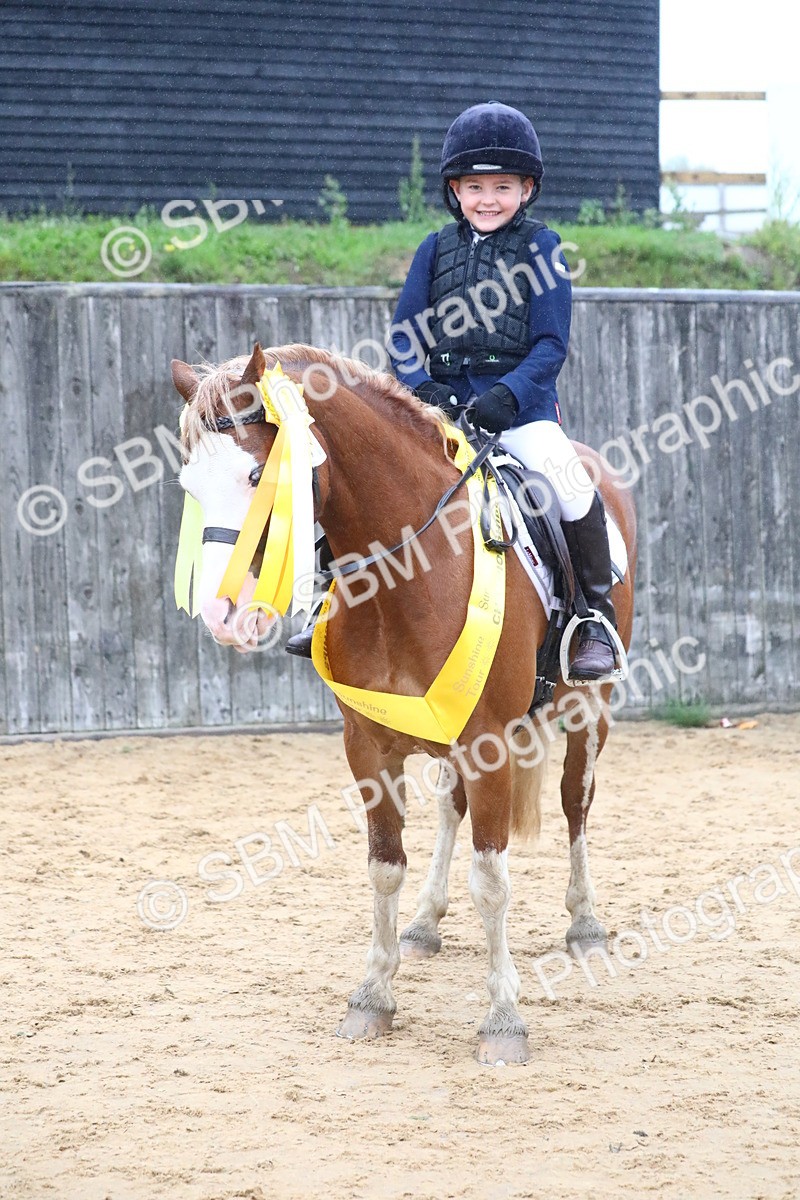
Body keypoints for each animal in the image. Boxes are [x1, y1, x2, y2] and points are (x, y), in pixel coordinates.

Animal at [171, 342, 637, 1066]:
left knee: (574, 804)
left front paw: (503, 1020)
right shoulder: (368, 747)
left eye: (257, 475)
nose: (223, 616)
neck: (407, 573)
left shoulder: (489, 743)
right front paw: (372, 997)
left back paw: (585, 923)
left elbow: (492, 879)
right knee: (452, 807)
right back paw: (424, 922)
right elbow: (384, 867)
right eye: (190, 486)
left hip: (592, 708)